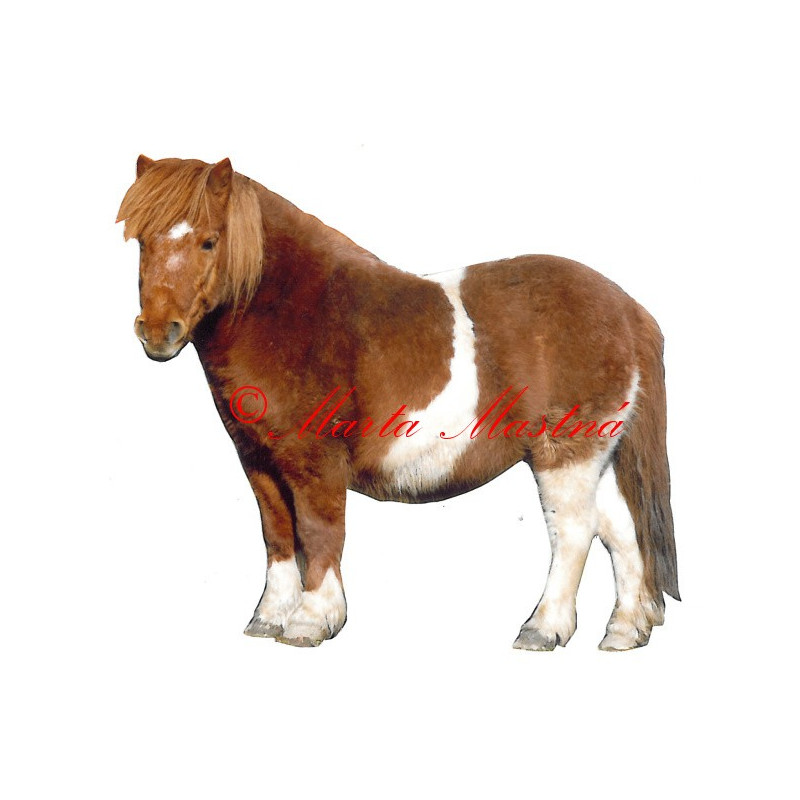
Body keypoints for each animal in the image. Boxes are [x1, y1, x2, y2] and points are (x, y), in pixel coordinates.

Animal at [118, 155, 679, 651]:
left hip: (565, 455)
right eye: (142, 241)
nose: (157, 332)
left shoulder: (315, 463)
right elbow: (277, 535)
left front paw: (312, 621)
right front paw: (269, 618)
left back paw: (542, 629)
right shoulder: (259, 463)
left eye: (209, 241)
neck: (300, 313)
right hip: (596, 454)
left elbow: (319, 534)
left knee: (575, 534)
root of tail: (627, 309)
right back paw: (625, 631)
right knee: (622, 532)